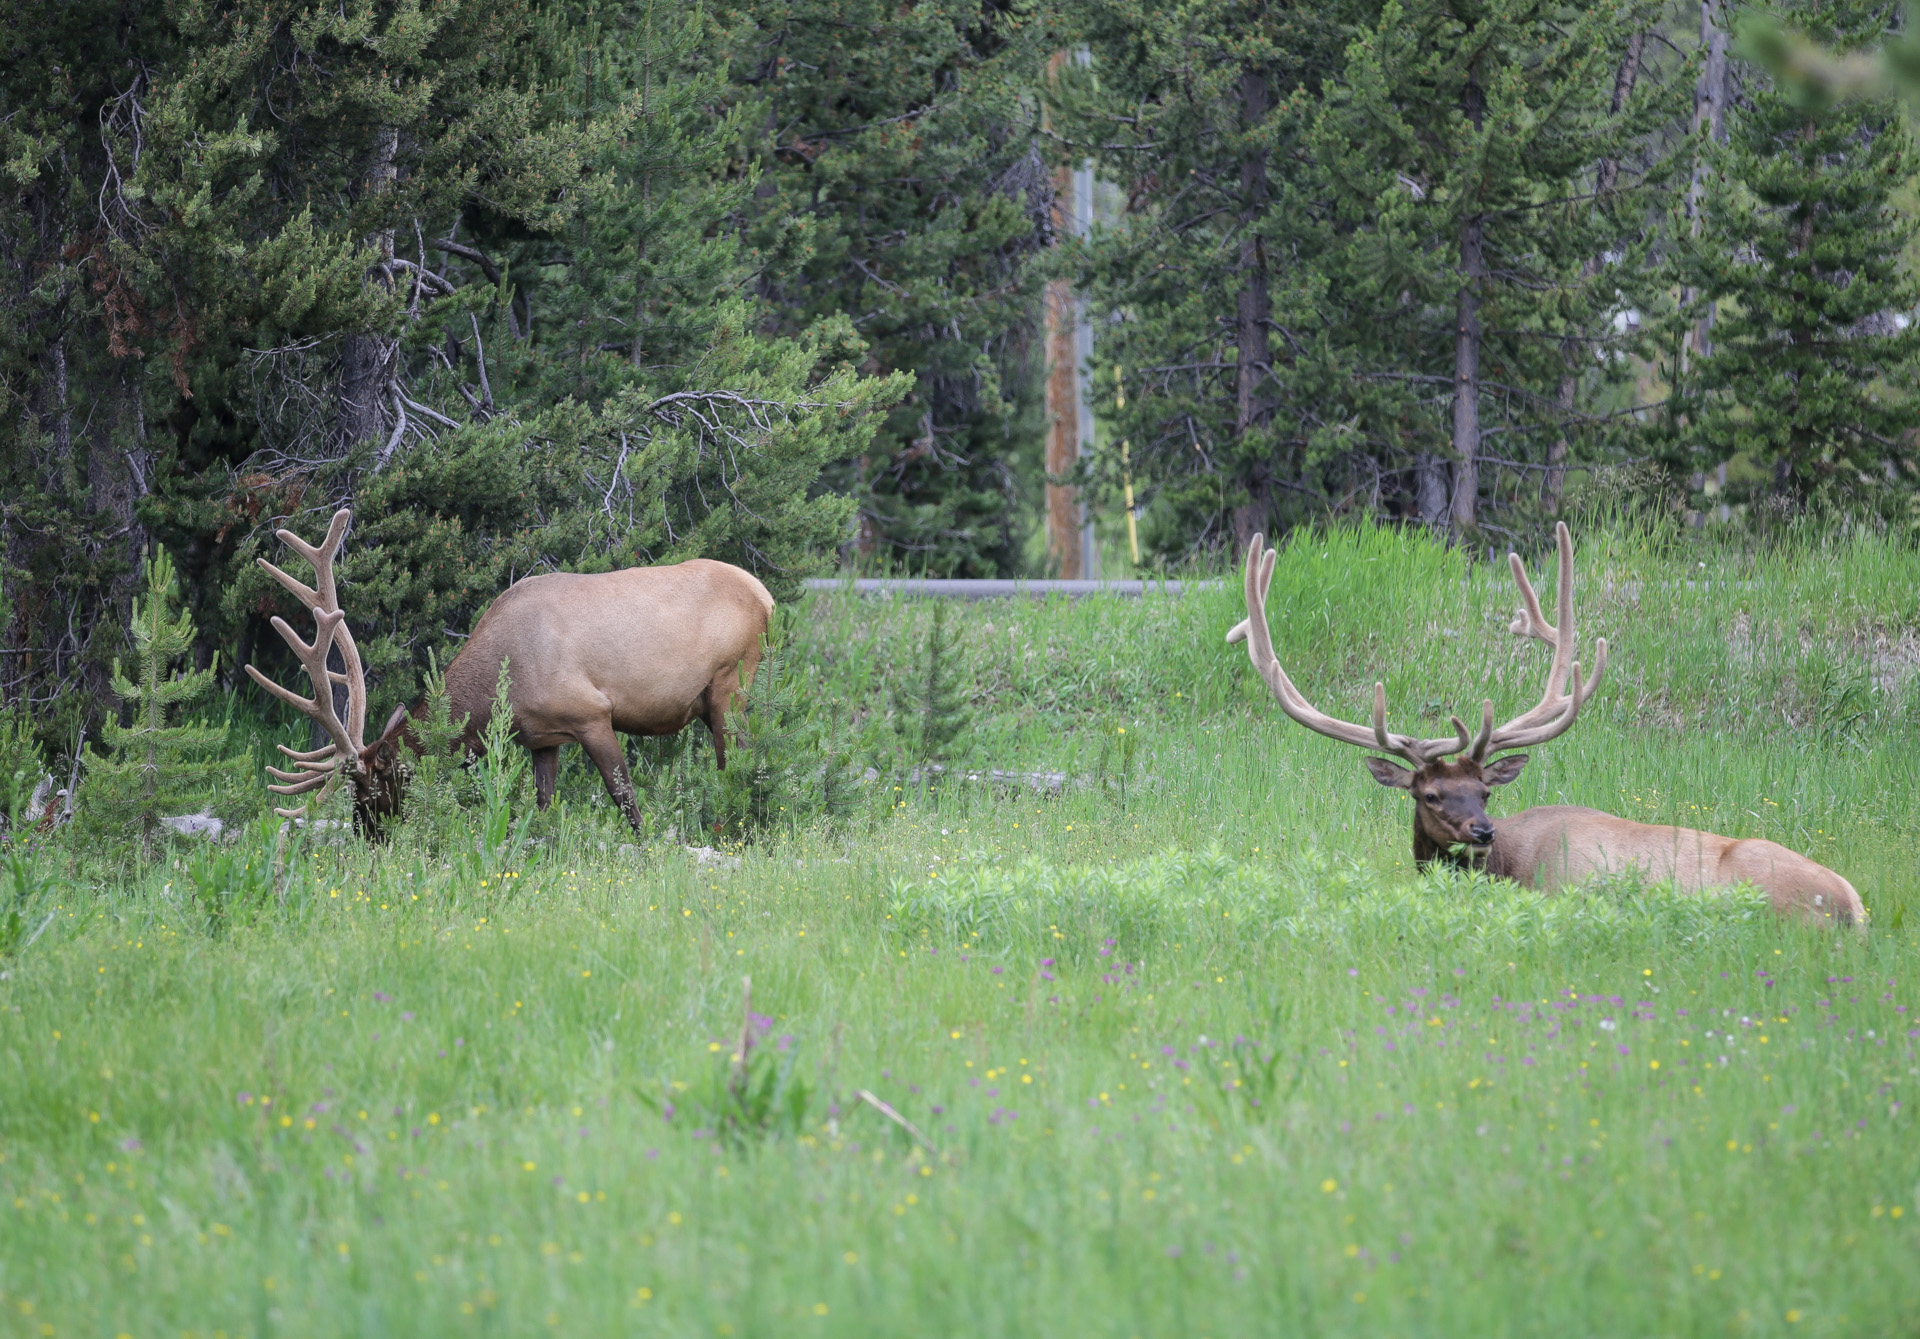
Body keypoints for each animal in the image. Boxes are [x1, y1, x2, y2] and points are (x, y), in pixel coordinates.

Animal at [245, 511, 771, 829]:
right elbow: (544, 806)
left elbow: (627, 802)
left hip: (730, 683)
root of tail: (765, 596)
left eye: (374, 787)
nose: (366, 837)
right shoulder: (542, 738)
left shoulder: (592, 713)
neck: (500, 693)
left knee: (739, 762)